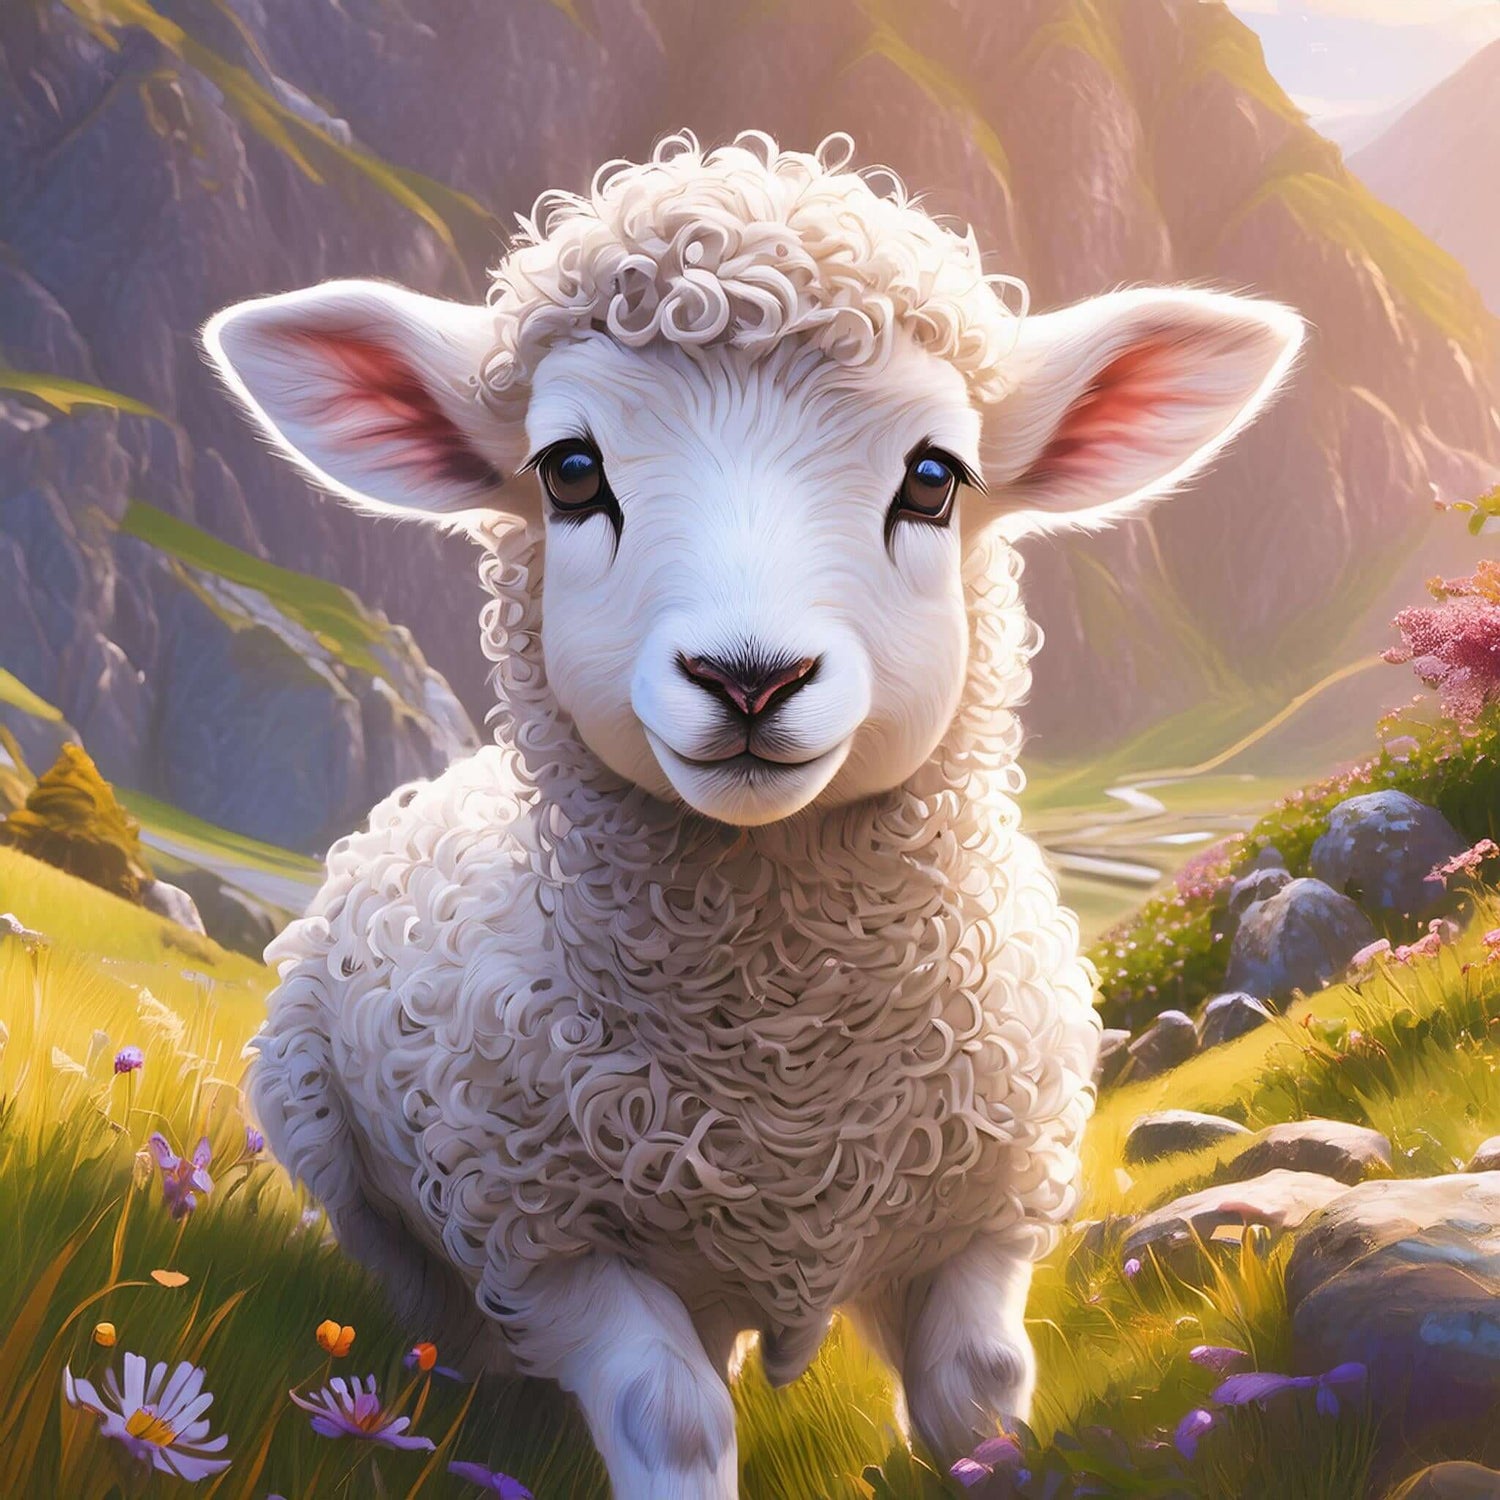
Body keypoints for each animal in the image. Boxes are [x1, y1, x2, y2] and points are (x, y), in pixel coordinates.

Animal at [204, 132, 1302, 1498]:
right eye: (571, 471)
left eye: (933, 477)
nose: (749, 677)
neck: (781, 1066)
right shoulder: (548, 1240)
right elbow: (669, 1416)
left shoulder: (983, 1216)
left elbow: (981, 1392)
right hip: (343, 1160)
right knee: (431, 1305)